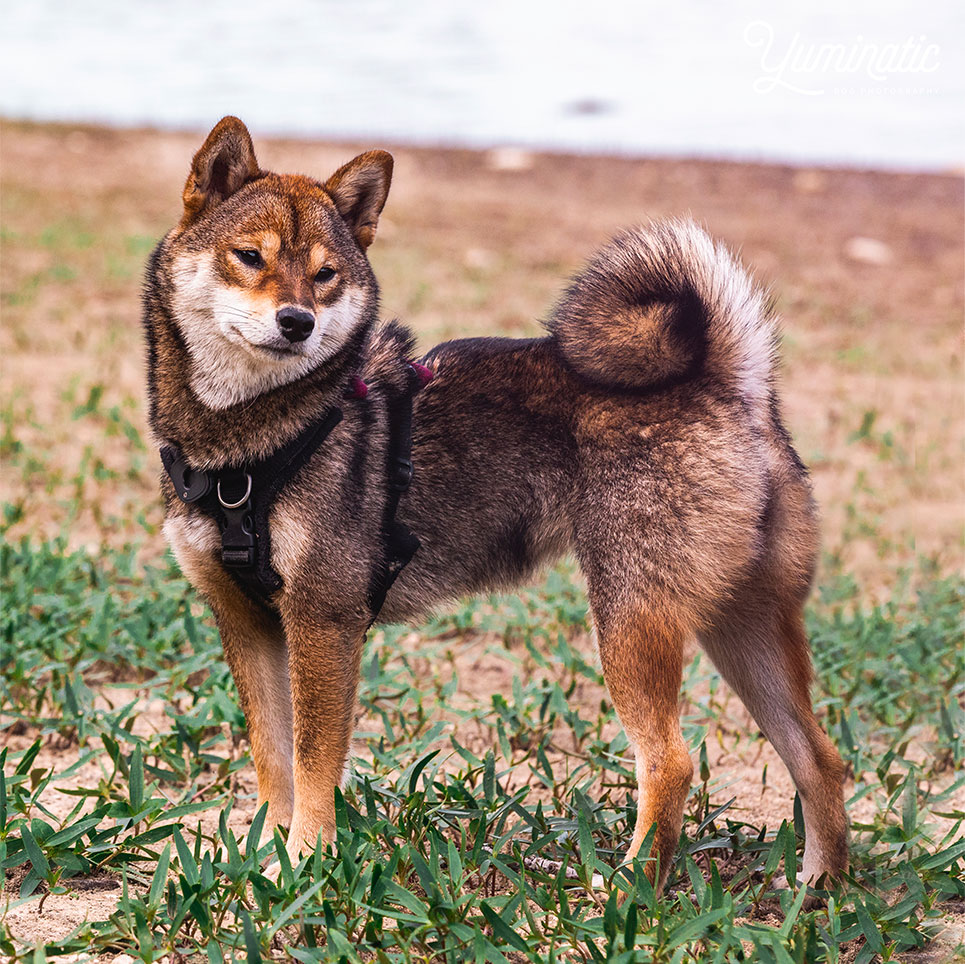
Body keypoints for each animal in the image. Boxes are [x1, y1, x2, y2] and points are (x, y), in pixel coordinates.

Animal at [141, 116, 844, 892]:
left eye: (325, 275)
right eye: (248, 257)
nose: (296, 321)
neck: (253, 444)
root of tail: (730, 384)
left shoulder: (323, 620)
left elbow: (315, 763)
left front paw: (307, 861)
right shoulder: (246, 622)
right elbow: (274, 759)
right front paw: (268, 857)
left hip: (630, 620)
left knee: (671, 761)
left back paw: (626, 890)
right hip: (740, 625)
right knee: (820, 757)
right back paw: (820, 890)